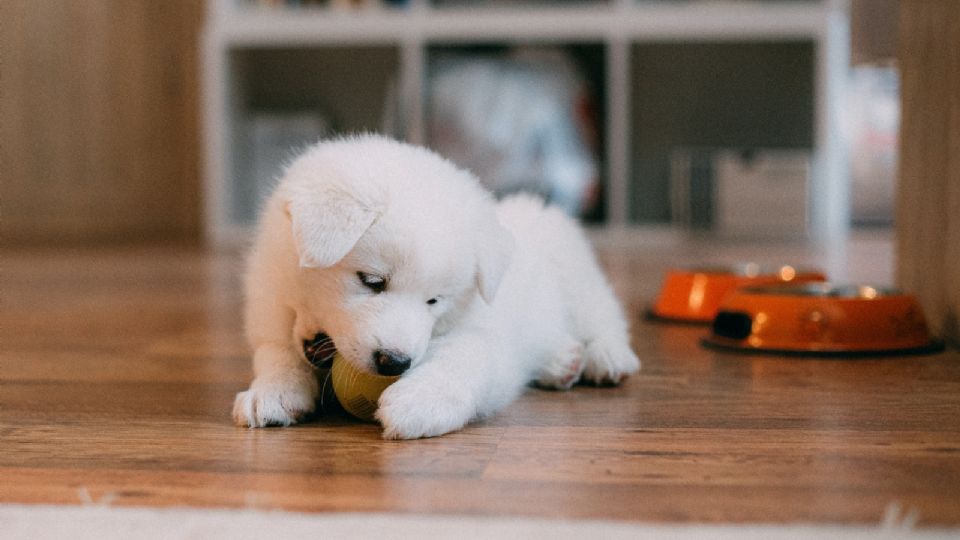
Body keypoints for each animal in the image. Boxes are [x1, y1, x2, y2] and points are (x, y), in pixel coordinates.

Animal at [232, 135, 636, 438]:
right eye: (372, 281)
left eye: (434, 300)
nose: (394, 362)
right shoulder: (269, 313)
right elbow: (275, 354)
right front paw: (272, 391)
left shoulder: (484, 335)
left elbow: (465, 358)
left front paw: (420, 402)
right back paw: (560, 361)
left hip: (576, 277)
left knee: (604, 317)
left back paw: (605, 357)